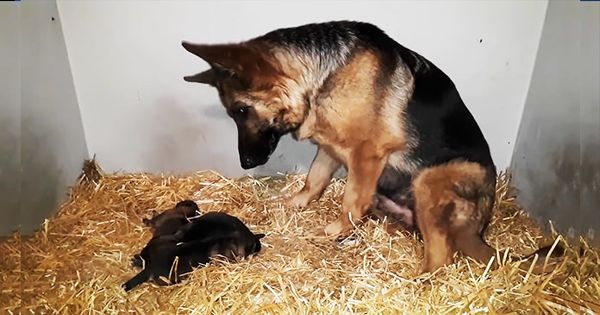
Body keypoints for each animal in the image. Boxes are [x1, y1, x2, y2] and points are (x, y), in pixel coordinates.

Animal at [180, 21, 560, 276]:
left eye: (241, 111)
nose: (246, 163)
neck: (322, 76)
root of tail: (481, 228)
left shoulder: (366, 154)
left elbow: (351, 201)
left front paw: (333, 231)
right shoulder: (329, 148)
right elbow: (313, 182)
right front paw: (294, 204)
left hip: (431, 179)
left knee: (441, 258)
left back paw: (419, 283)